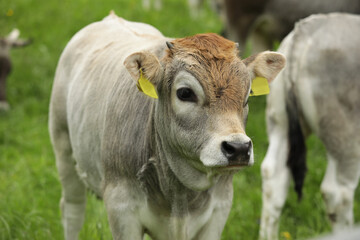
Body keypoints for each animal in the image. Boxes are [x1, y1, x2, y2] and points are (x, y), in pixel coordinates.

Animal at [48, 11, 284, 240]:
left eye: (247, 95)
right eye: (185, 93)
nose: (239, 148)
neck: (180, 195)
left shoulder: (220, 207)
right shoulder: (121, 208)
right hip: (63, 147)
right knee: (72, 209)